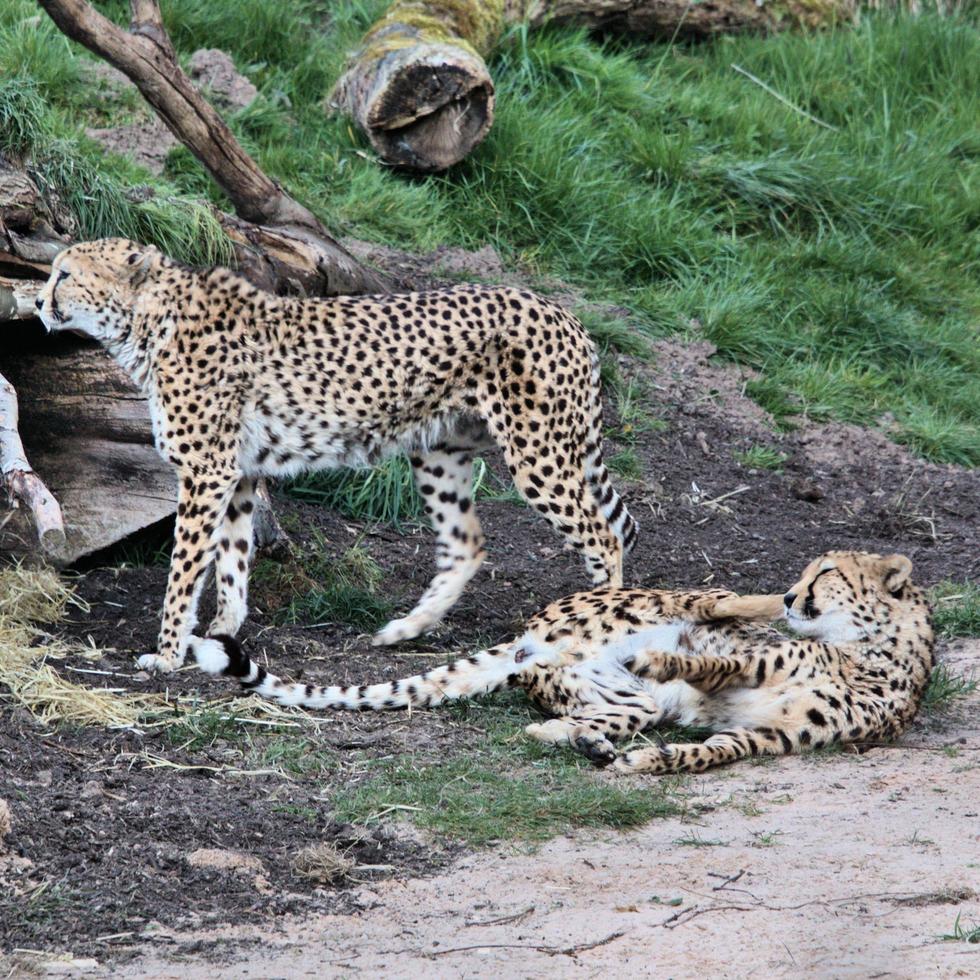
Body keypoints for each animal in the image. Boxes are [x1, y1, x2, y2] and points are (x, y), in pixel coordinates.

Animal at [36, 237, 636, 672]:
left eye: (65, 274)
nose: (39, 301)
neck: (150, 322)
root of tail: (562, 312)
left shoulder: (207, 472)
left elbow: (184, 571)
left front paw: (165, 654)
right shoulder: (238, 474)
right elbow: (231, 560)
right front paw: (223, 635)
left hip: (539, 453)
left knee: (603, 539)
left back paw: (594, 626)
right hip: (439, 451)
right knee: (468, 543)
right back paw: (404, 629)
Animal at [197, 552, 936, 772]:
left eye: (827, 573)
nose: (793, 592)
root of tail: (535, 637)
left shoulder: (769, 733)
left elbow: (707, 751)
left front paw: (650, 765)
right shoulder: (757, 663)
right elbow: (720, 664)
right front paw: (673, 655)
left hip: (621, 699)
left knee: (572, 712)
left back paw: (576, 737)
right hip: (655, 602)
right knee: (712, 602)